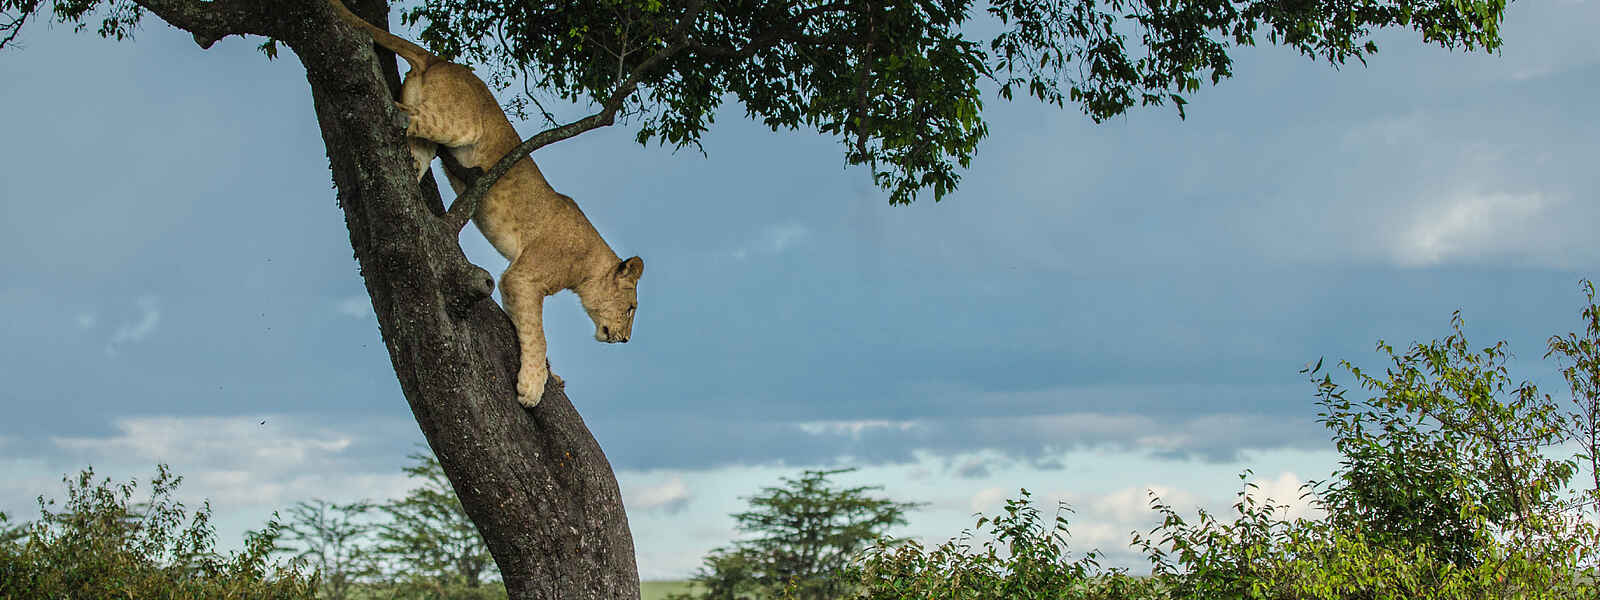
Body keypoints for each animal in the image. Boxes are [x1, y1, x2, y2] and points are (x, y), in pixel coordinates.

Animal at [329, 0, 644, 408]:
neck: (587, 264)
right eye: (631, 308)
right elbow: (538, 334)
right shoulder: (523, 277)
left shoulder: (517, 285)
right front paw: (532, 387)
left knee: (412, 152)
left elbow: (528, 331)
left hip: (428, 142)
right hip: (457, 124)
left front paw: (550, 375)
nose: (625, 339)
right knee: (402, 113)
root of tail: (441, 60)